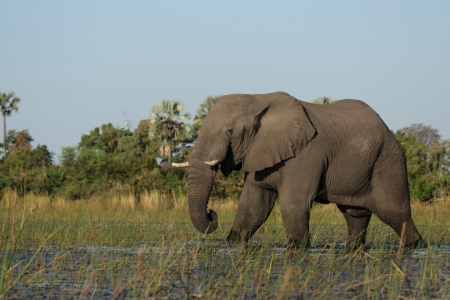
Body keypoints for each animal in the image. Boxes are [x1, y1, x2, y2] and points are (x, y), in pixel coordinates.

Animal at [172, 91, 426, 248]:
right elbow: (254, 204)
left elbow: (293, 202)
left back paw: (417, 246)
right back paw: (354, 248)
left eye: (231, 131)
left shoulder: (307, 154)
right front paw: (233, 243)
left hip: (388, 161)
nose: (212, 213)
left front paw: (298, 247)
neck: (258, 99)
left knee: (395, 213)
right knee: (355, 215)